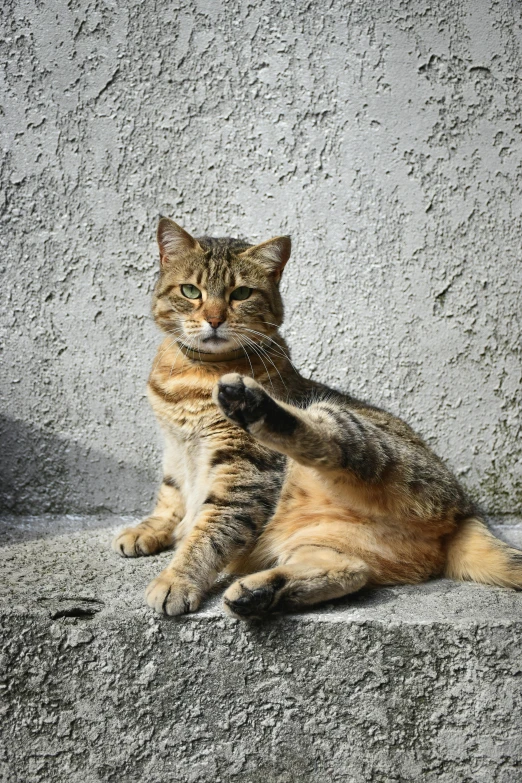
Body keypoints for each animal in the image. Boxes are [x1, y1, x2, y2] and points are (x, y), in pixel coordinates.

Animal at [111, 219, 516, 620]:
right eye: (190, 290)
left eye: (241, 293)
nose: (213, 319)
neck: (194, 375)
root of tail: (466, 514)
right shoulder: (174, 448)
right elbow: (171, 495)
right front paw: (150, 529)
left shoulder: (245, 469)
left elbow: (210, 531)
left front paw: (177, 578)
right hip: (329, 544)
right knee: (349, 570)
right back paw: (260, 593)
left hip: (350, 430)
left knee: (329, 443)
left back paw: (252, 404)